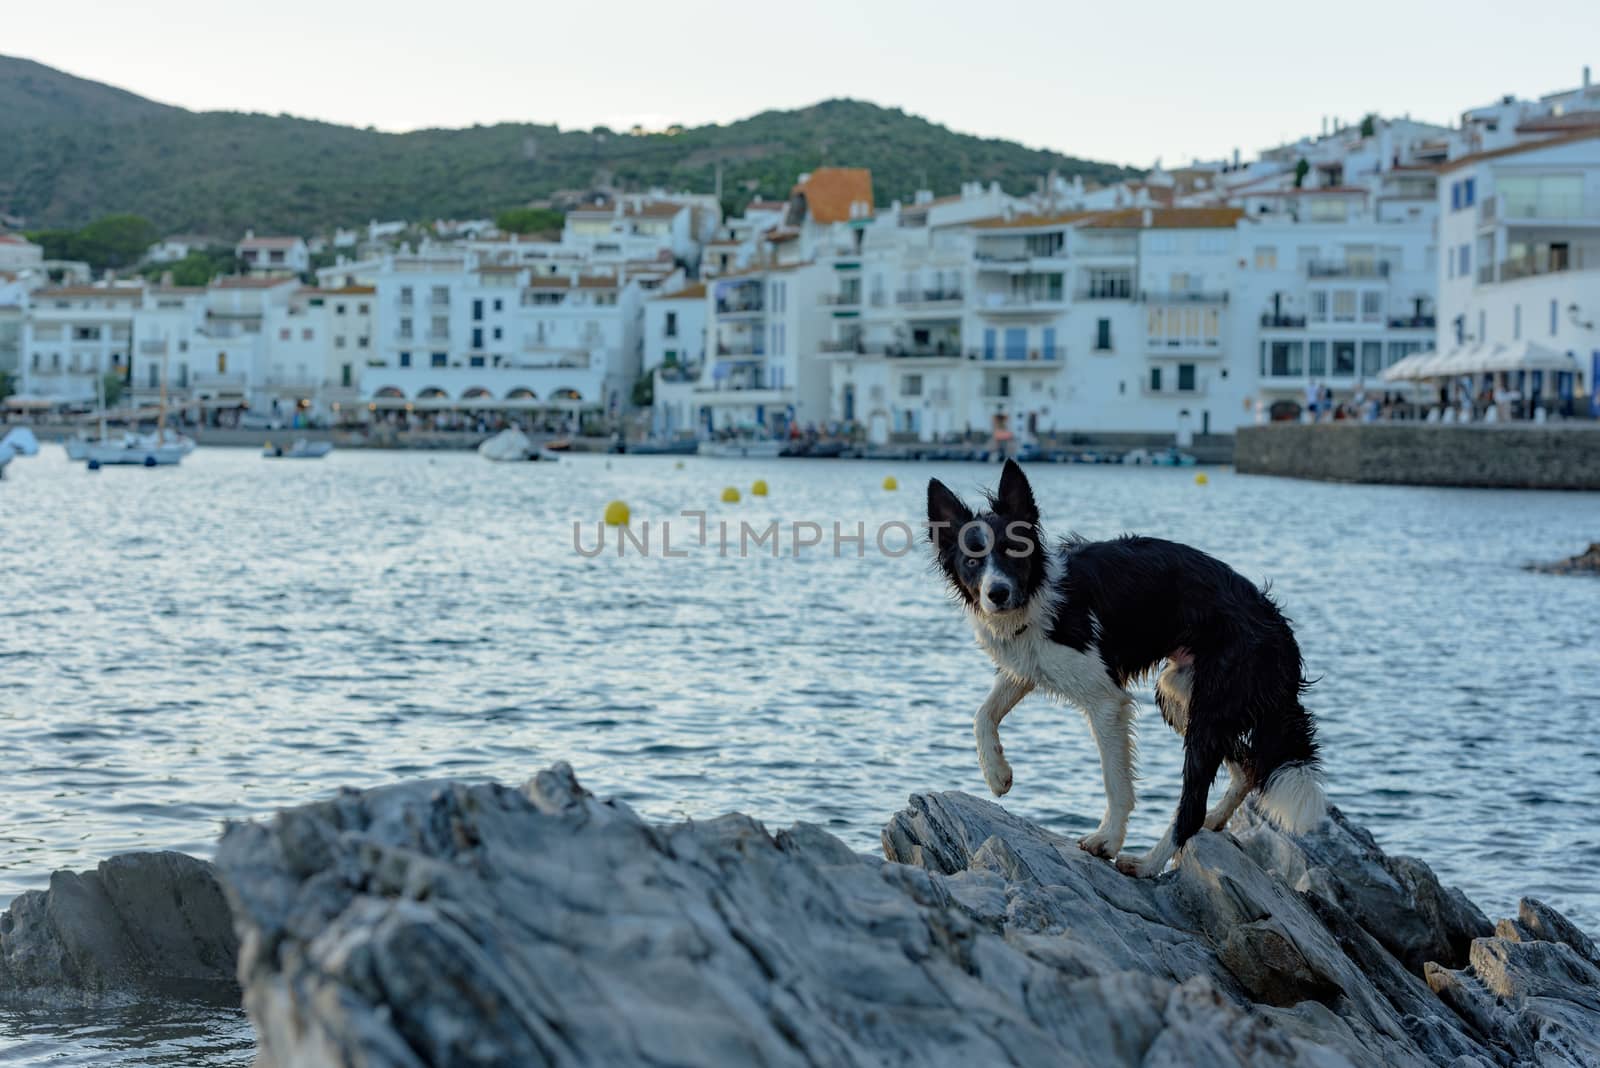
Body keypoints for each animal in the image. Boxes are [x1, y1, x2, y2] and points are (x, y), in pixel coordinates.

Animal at [928, 460, 1324, 876]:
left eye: (1014, 550)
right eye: (972, 560)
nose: (997, 593)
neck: (1037, 594)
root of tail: (1281, 630)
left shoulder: (1105, 700)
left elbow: (1115, 781)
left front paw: (1107, 841)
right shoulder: (1029, 665)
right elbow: (982, 713)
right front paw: (996, 774)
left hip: (1209, 708)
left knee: (1193, 805)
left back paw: (1149, 863)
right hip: (1181, 691)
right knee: (1246, 768)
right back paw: (1216, 821)